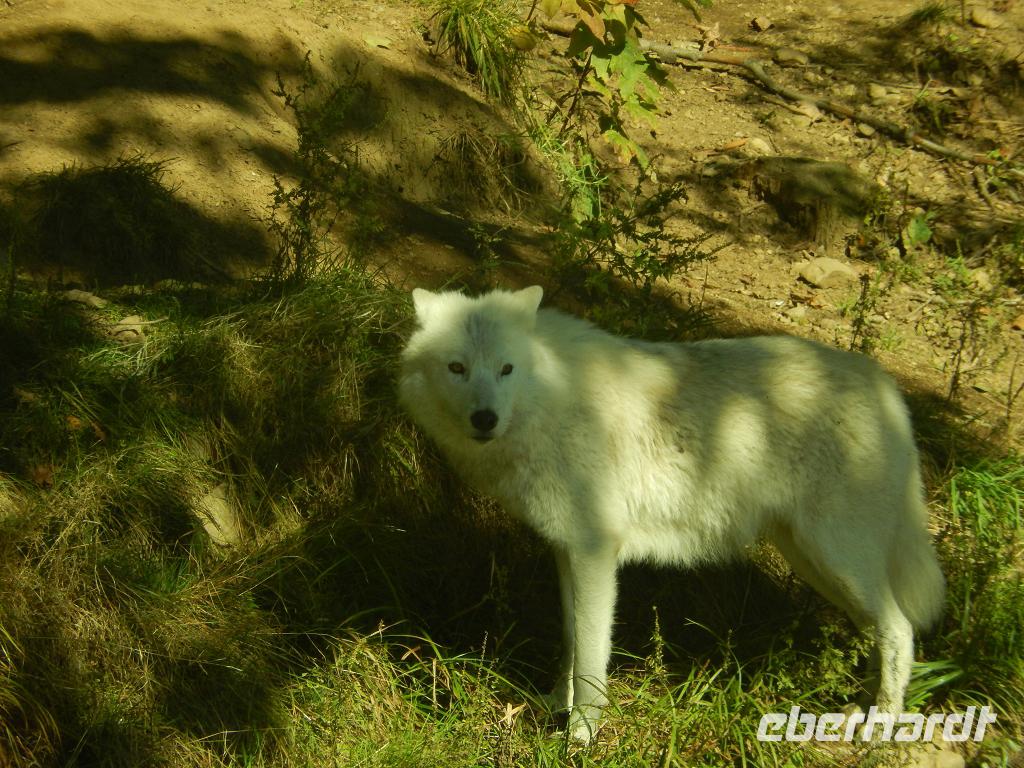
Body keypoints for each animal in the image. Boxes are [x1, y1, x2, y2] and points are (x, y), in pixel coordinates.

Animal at [398, 285, 945, 742]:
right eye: (457, 368)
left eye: (506, 369)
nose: (484, 418)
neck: (553, 398)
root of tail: (883, 383)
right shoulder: (567, 551)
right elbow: (572, 640)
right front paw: (557, 703)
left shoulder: (597, 552)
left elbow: (591, 655)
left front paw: (581, 735)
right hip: (816, 563)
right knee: (880, 630)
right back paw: (860, 708)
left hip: (836, 558)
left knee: (899, 630)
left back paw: (882, 723)